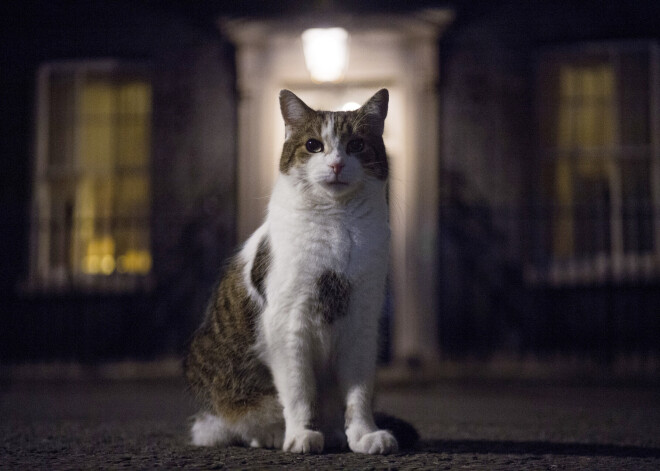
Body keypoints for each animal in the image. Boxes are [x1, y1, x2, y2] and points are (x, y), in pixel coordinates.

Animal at [183, 87, 404, 454]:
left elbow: (358, 394)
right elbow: (299, 391)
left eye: (356, 145)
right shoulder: (289, 324)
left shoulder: (362, 323)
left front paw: (364, 435)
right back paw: (274, 435)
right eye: (313, 145)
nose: (336, 163)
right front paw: (301, 434)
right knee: (235, 427)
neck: (337, 223)